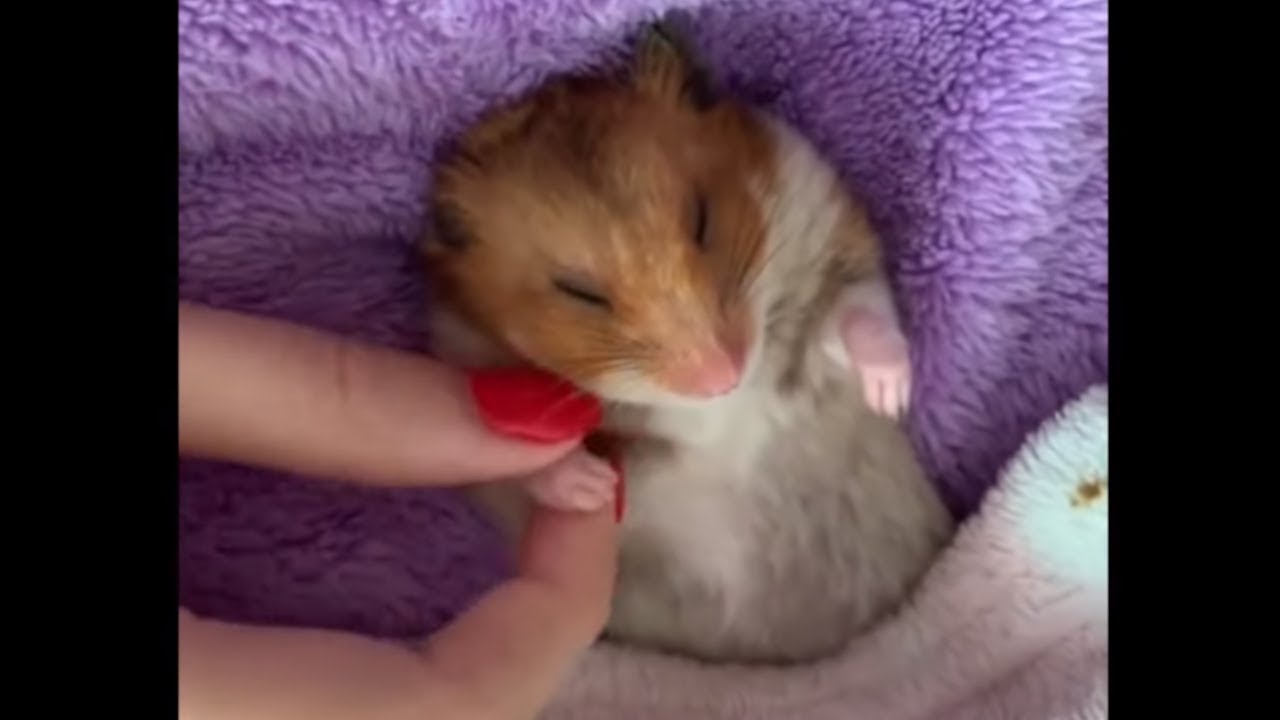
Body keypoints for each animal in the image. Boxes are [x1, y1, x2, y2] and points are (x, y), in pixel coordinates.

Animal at [421, 20, 955, 664]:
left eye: (702, 219)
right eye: (578, 292)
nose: (723, 376)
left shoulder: (832, 246)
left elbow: (858, 315)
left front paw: (891, 394)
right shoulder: (467, 363)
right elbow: (524, 465)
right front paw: (589, 485)